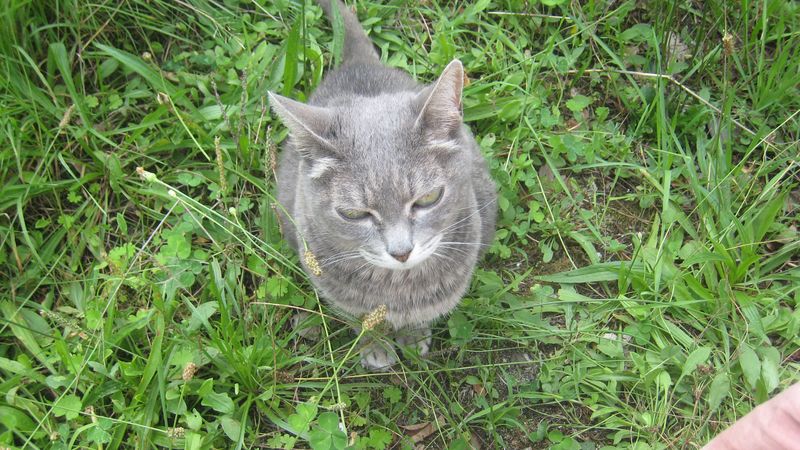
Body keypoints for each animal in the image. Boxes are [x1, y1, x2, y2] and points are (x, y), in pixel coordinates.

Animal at [270, 0, 494, 370]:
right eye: (353, 214)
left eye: (428, 198)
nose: (401, 252)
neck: (399, 288)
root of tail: (358, 63)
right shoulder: (337, 291)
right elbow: (364, 320)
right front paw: (375, 346)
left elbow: (420, 315)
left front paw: (414, 337)